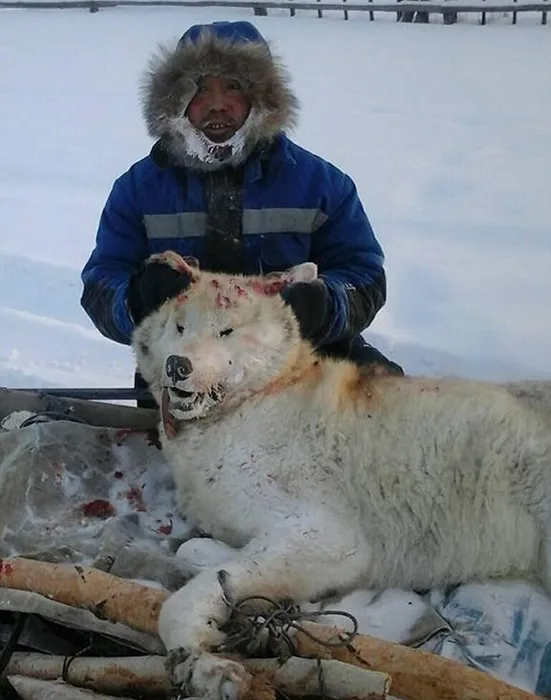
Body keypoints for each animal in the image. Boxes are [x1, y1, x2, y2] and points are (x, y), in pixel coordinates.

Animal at [133, 252, 551, 700]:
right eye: (179, 327)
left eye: (226, 331)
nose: (178, 365)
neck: (252, 401)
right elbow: (198, 551)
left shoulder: (330, 537)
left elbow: (184, 601)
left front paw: (206, 665)